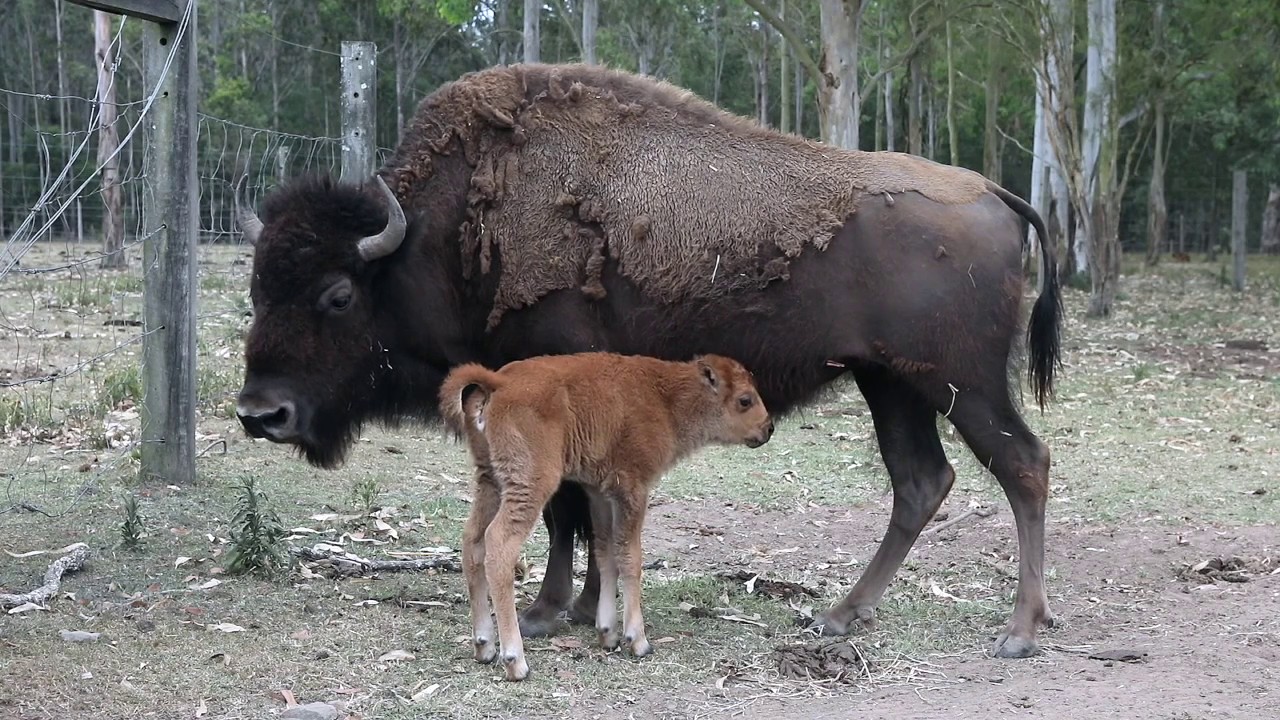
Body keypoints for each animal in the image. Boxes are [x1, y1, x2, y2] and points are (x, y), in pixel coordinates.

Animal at [439, 351, 774, 680]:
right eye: (745, 400)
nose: (768, 428)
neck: (665, 396)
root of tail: (500, 382)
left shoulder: (599, 492)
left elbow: (605, 552)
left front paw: (607, 633)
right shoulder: (633, 489)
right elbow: (630, 557)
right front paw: (637, 640)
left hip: (490, 481)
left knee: (472, 542)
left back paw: (484, 646)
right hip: (530, 483)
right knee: (499, 544)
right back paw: (515, 661)